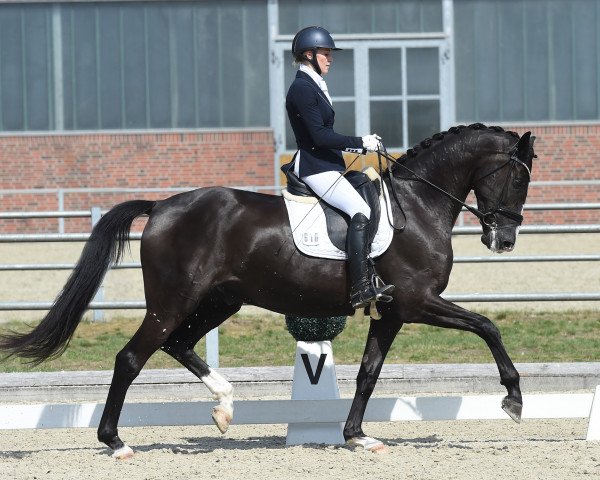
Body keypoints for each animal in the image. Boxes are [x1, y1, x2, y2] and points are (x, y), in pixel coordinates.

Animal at [0, 123, 536, 458]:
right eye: (516, 177)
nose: (505, 240)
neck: (418, 205)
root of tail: (162, 206)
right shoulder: (417, 302)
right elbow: (487, 325)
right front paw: (513, 399)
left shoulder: (392, 312)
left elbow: (368, 374)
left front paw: (357, 437)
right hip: (173, 301)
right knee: (132, 358)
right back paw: (116, 442)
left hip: (220, 299)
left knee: (179, 344)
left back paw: (224, 406)